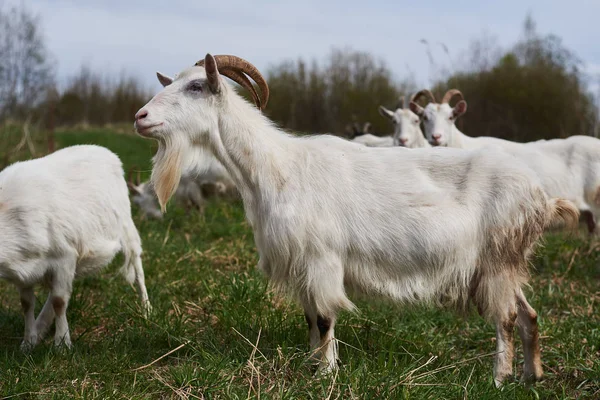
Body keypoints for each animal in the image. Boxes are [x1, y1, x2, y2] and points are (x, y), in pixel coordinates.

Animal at [0, 145, 150, 348]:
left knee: (137, 266)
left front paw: (62, 344)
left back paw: (146, 310)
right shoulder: (24, 271)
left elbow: (59, 301)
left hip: (127, 226)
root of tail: (104, 150)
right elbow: (27, 304)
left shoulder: (64, 256)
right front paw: (28, 343)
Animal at [134, 54, 580, 386]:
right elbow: (310, 318)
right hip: (503, 264)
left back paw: (499, 378)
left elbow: (326, 316)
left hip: (498, 258)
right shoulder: (301, 264)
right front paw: (312, 366)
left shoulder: (322, 258)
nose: (140, 117)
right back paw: (532, 376)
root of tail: (541, 196)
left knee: (506, 318)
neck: (276, 169)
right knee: (528, 314)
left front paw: (326, 374)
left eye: (195, 87)